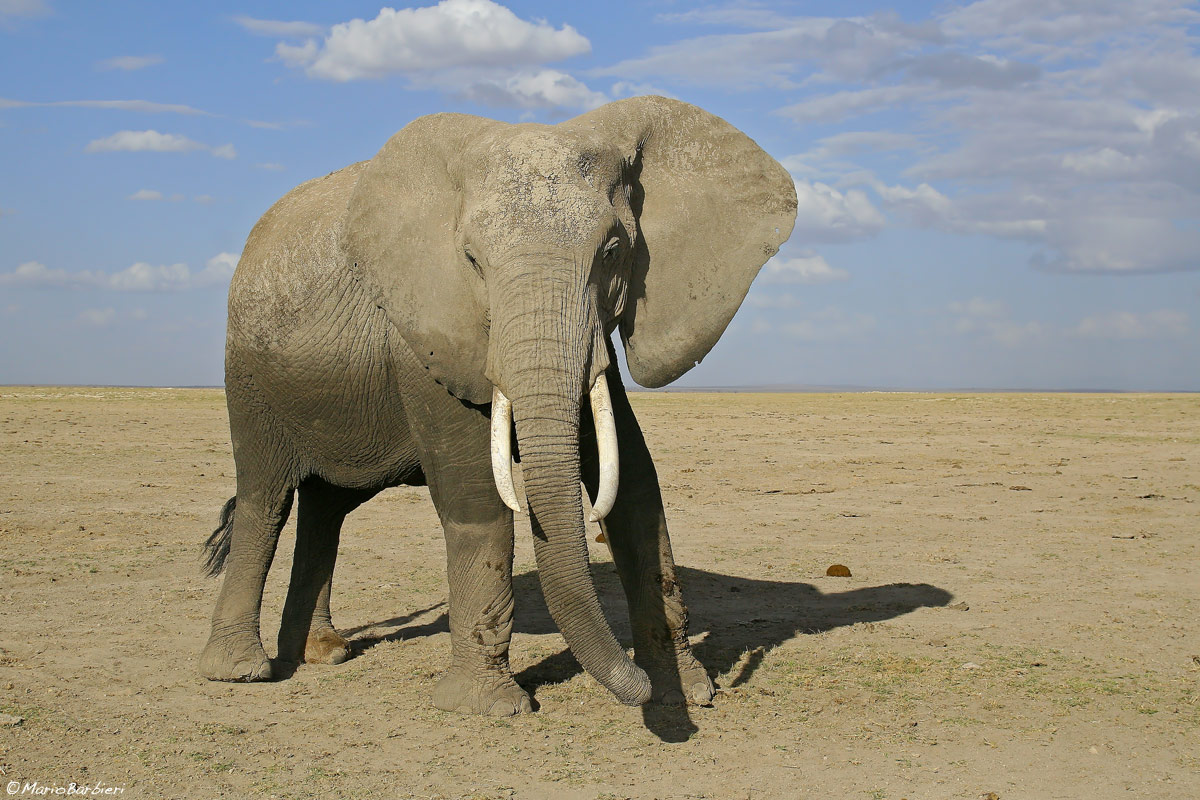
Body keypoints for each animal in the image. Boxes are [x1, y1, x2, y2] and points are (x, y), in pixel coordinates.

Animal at [198, 95, 797, 715]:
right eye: (472, 261)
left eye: (613, 252)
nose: (636, 683)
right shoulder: (427, 335)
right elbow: (477, 498)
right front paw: (488, 706)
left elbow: (634, 485)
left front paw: (687, 692)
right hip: (249, 375)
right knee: (265, 499)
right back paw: (239, 671)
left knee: (326, 508)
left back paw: (323, 653)